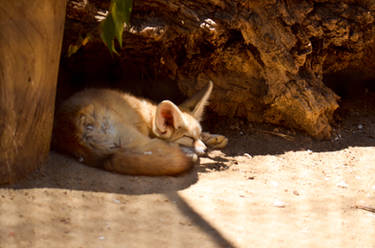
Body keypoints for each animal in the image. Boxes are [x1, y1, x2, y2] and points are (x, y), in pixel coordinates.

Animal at [53, 81, 228, 176]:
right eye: (189, 138)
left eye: (197, 136)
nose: (206, 150)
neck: (149, 116)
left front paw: (213, 138)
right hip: (139, 140)